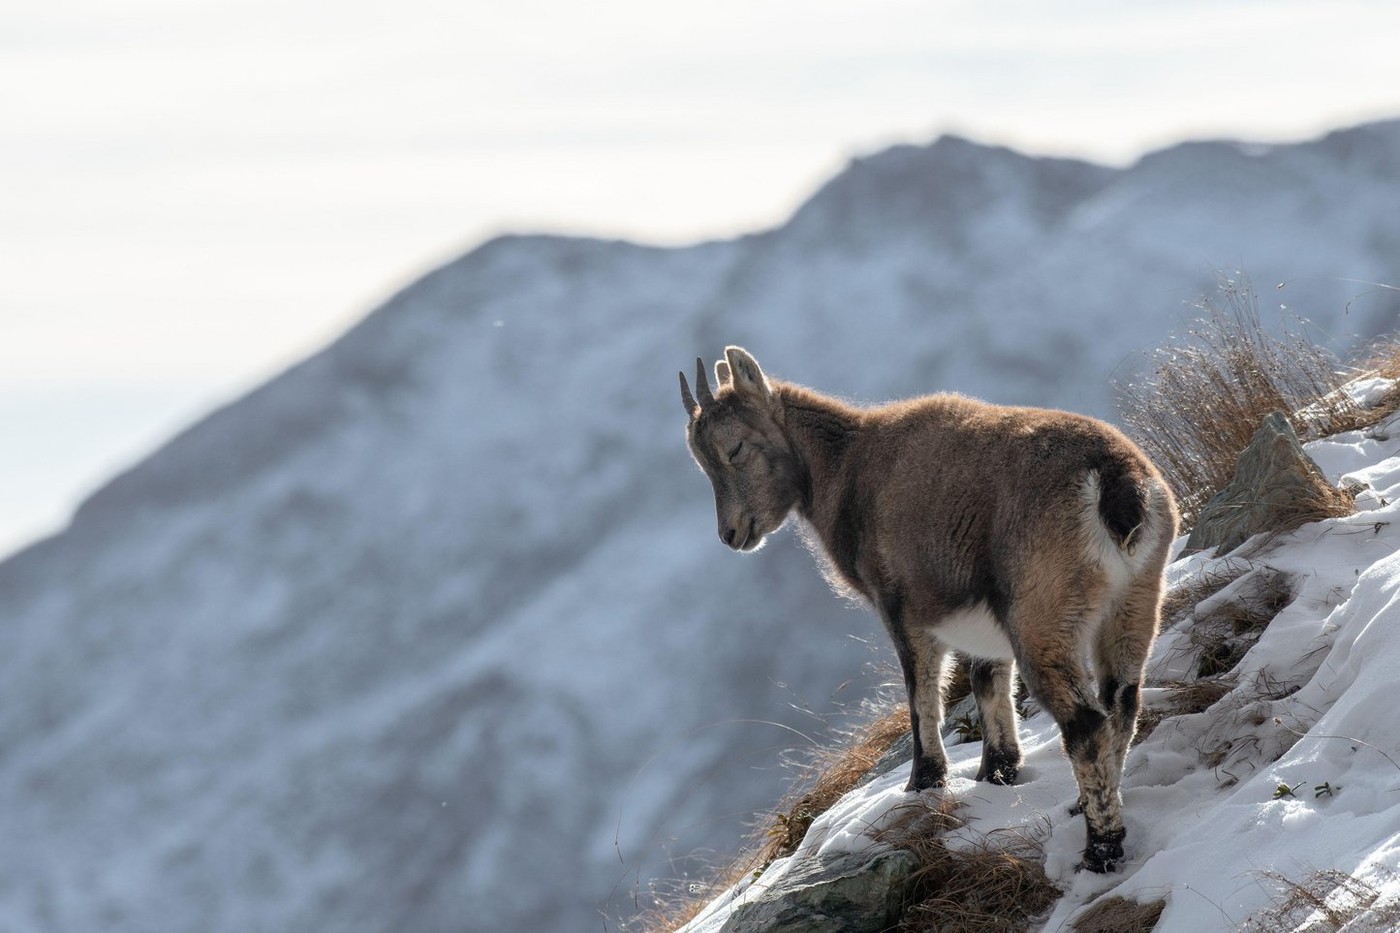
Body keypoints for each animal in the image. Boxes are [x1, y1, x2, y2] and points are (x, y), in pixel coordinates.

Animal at [679, 346, 1178, 873]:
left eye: (735, 448)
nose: (732, 534)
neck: (843, 468)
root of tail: (1117, 483)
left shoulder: (900, 606)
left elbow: (921, 697)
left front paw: (924, 781)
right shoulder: (979, 618)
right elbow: (986, 681)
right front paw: (997, 771)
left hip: (1041, 618)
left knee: (1086, 723)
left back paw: (1101, 848)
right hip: (1134, 600)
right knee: (1122, 700)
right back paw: (1089, 804)